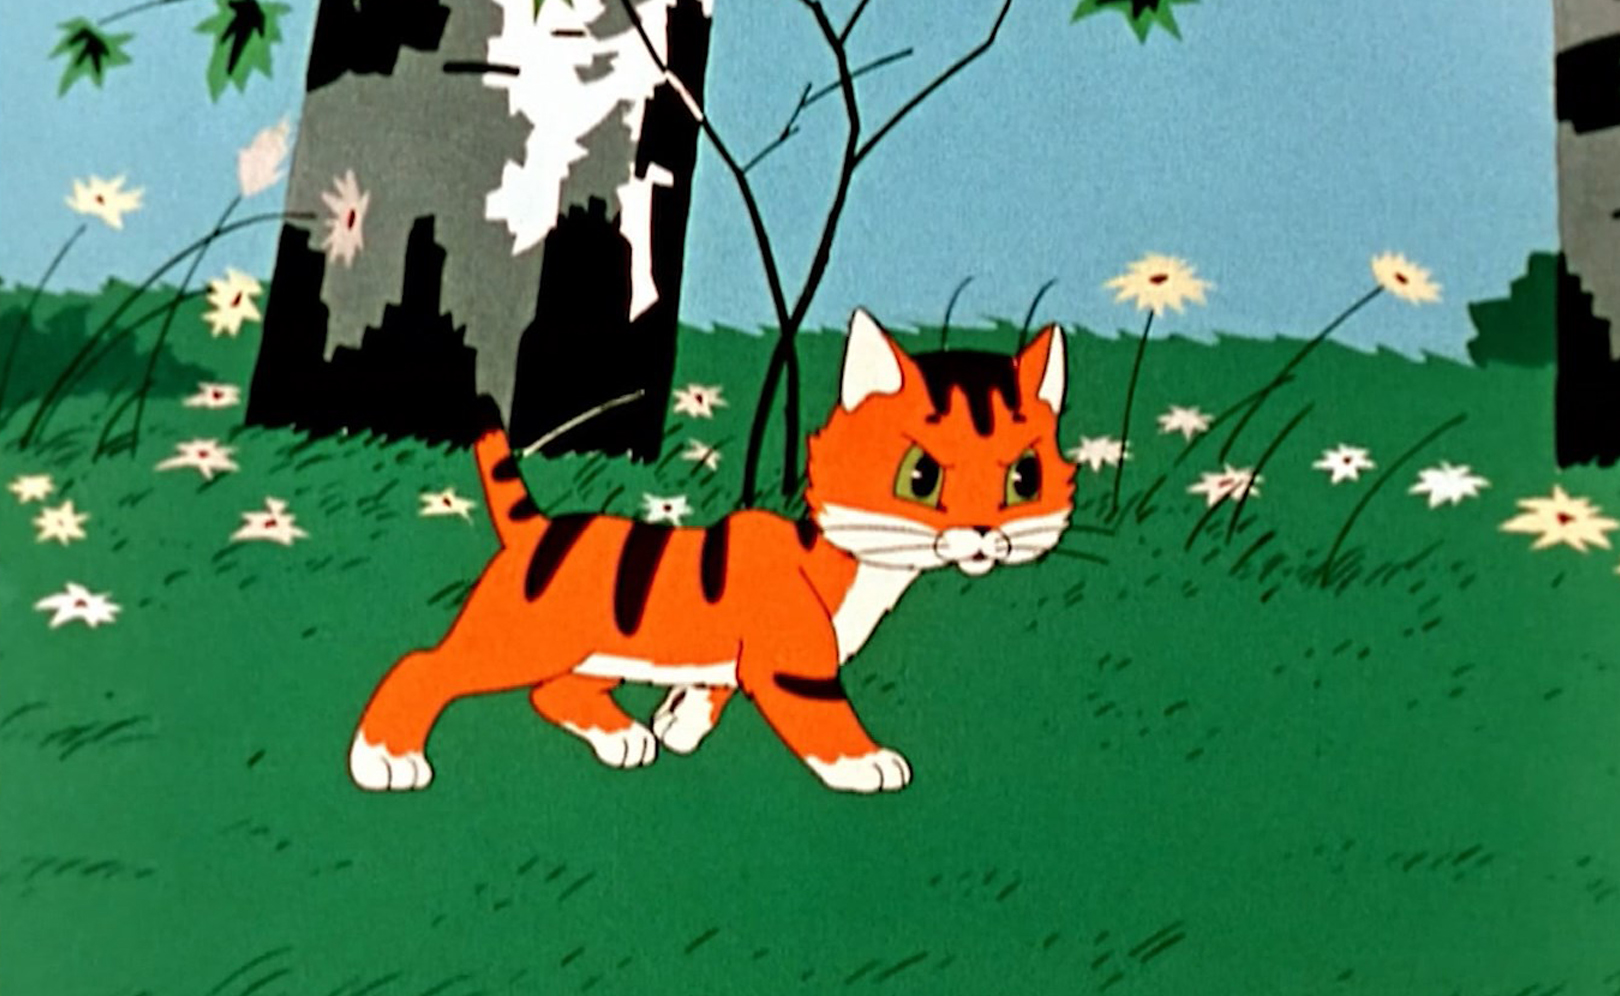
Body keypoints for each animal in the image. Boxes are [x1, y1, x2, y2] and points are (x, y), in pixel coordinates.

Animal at [348, 308, 1075, 794]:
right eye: (920, 478)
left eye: (1024, 479)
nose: (984, 535)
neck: (852, 569)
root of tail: (538, 525)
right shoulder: (791, 668)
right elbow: (825, 718)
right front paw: (865, 762)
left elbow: (710, 684)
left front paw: (680, 723)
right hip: (520, 640)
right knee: (424, 667)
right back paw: (384, 758)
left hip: (596, 652)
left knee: (552, 694)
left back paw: (622, 737)